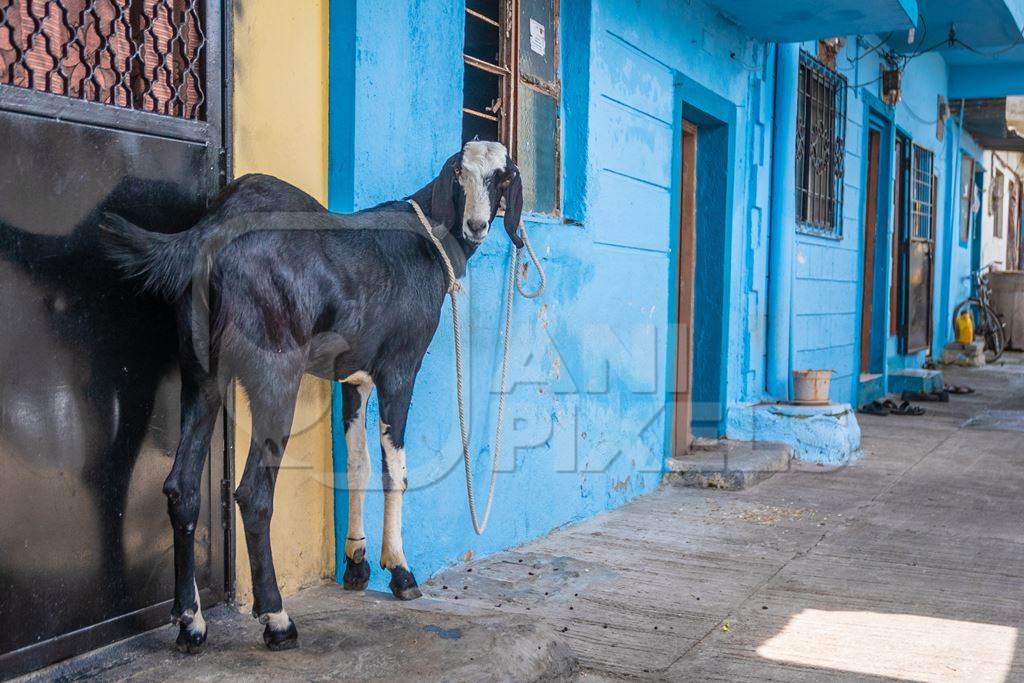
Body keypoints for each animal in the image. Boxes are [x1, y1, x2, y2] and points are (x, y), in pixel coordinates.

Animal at [102, 140, 524, 651]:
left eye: (502, 176)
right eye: (460, 171)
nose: (477, 225)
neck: (428, 239)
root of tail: (212, 233)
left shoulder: (354, 378)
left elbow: (358, 465)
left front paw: (357, 563)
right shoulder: (399, 368)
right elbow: (395, 471)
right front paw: (400, 572)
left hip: (200, 374)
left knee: (181, 487)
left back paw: (192, 623)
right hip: (275, 378)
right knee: (253, 494)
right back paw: (277, 619)